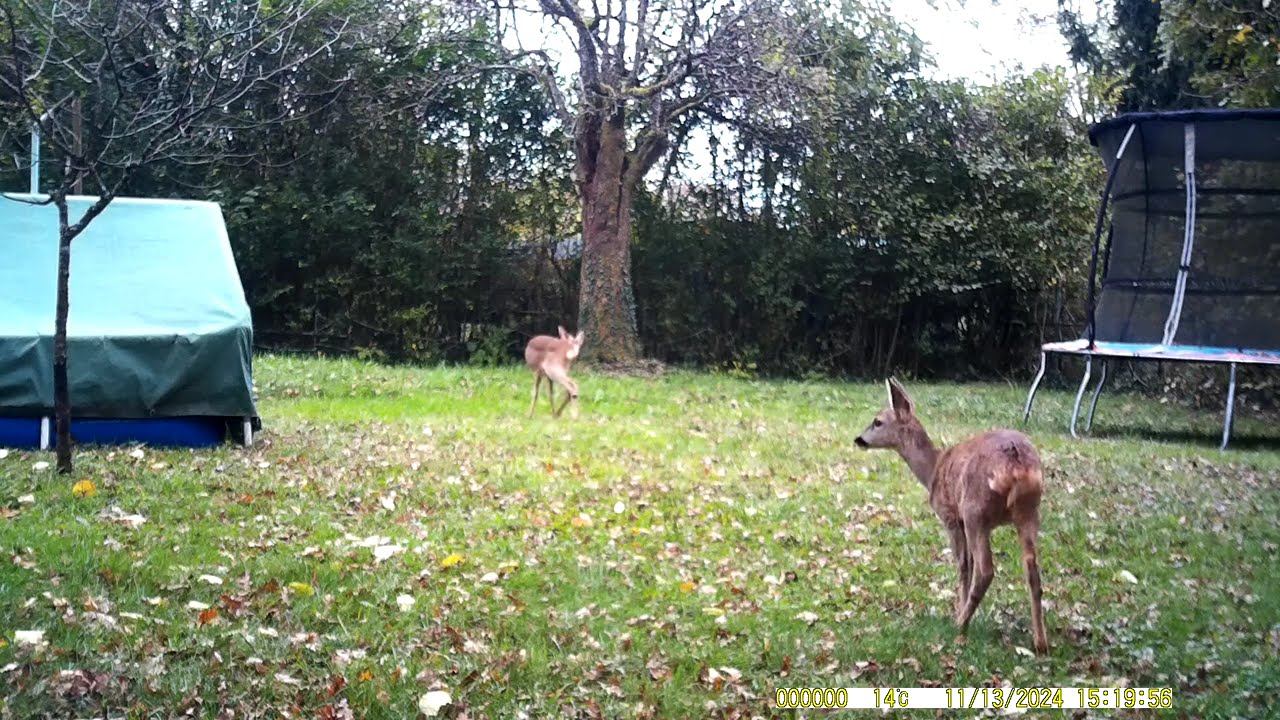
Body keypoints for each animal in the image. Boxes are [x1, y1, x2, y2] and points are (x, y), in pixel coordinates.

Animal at [855, 379, 1044, 653]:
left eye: (877, 421)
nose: (859, 439)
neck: (933, 469)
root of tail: (1016, 460)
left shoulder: (951, 517)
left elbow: (964, 564)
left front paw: (958, 611)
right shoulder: (963, 522)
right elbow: (968, 564)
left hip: (976, 510)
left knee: (985, 570)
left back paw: (960, 625)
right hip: (1029, 510)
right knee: (1032, 569)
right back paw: (1041, 642)